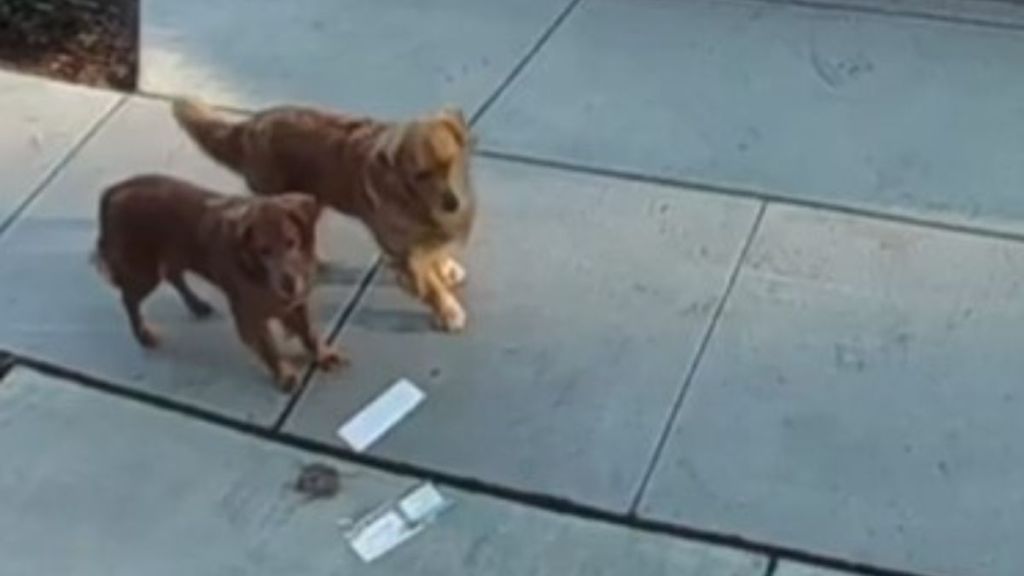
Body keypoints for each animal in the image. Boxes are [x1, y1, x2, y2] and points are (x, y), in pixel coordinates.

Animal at [93, 174, 339, 389]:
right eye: (263, 250)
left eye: (291, 242)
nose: (290, 284)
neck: (258, 273)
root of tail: (114, 190)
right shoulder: (249, 317)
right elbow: (269, 348)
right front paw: (283, 374)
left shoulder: (296, 303)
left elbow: (308, 331)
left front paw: (322, 354)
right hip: (144, 273)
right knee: (129, 300)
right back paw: (143, 334)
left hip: (175, 255)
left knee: (173, 275)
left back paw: (197, 305)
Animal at [174, 99, 477, 332]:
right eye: (421, 175)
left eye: (451, 163)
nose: (453, 203)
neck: (411, 196)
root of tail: (250, 126)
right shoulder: (403, 253)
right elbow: (430, 286)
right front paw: (448, 310)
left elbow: (435, 254)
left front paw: (444, 267)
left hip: (311, 200)